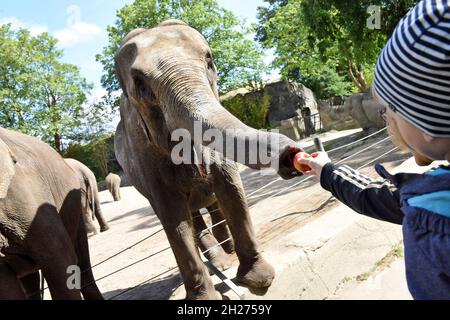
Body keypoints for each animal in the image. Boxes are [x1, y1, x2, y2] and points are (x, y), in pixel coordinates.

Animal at [113, 19, 302, 300]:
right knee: (193, 215)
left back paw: (227, 251)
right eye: (141, 85)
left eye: (210, 61)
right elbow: (173, 217)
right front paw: (205, 298)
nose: (289, 153)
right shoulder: (145, 155)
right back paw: (219, 261)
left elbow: (231, 188)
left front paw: (259, 279)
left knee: (212, 203)